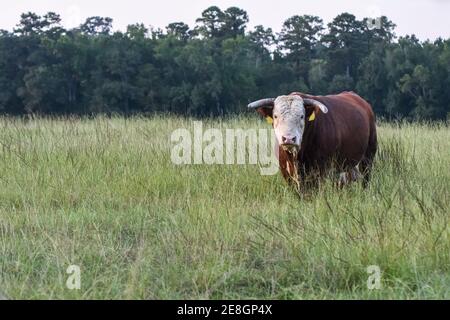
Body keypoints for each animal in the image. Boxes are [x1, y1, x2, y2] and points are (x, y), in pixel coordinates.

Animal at [248, 91, 378, 189]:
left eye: (301, 116)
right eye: (275, 116)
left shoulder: (321, 170)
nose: (289, 138)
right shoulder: (287, 172)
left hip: (368, 157)